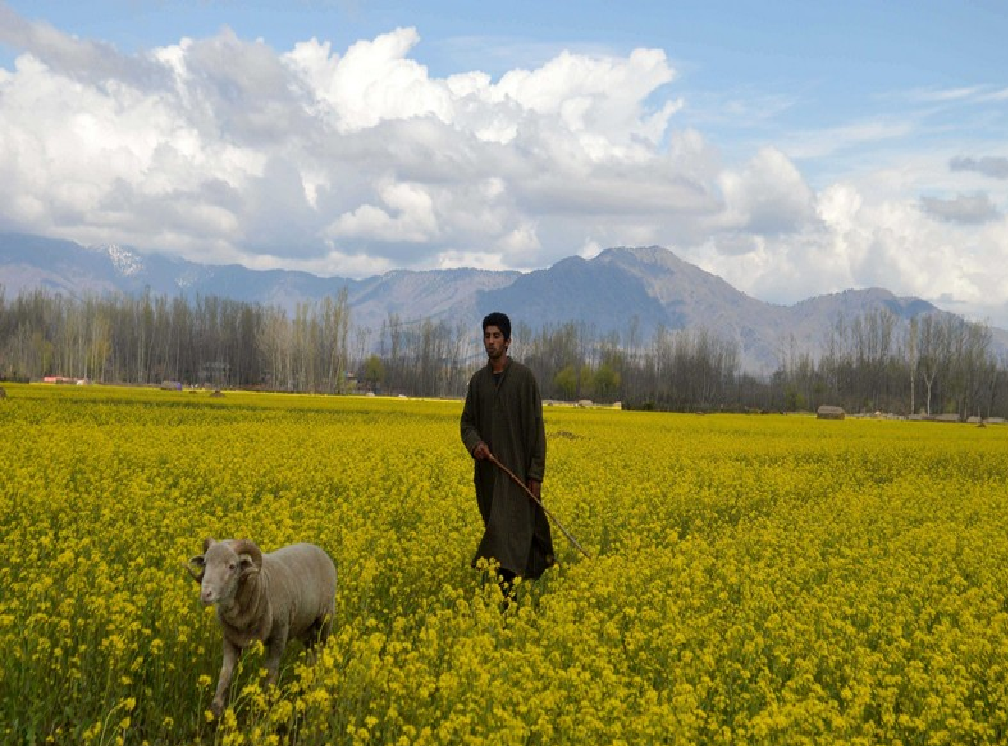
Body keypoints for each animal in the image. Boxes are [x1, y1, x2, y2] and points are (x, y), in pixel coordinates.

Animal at [184, 536, 334, 717]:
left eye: (232, 566)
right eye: (205, 563)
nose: (205, 594)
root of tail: (317, 548)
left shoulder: (278, 637)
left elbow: (270, 675)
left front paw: (266, 709)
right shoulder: (231, 639)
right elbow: (225, 674)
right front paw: (216, 711)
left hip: (324, 622)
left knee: (320, 653)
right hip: (306, 630)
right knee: (311, 655)